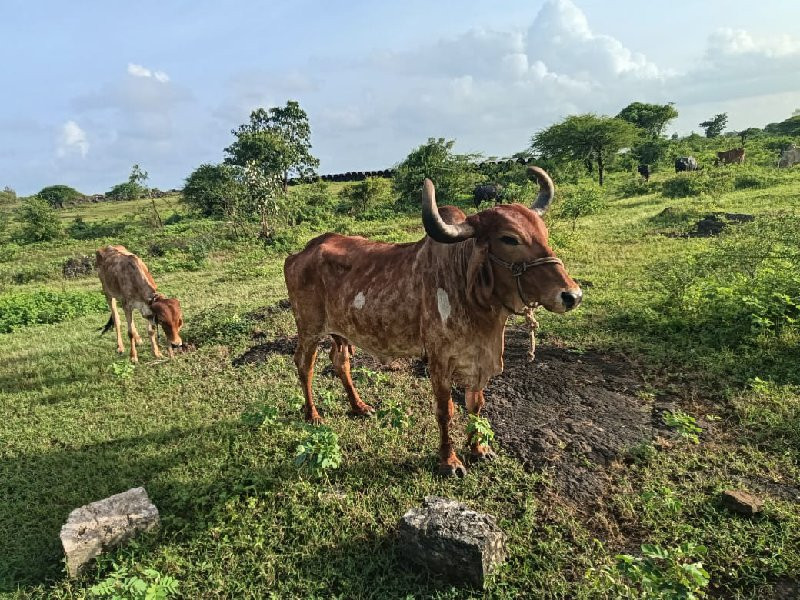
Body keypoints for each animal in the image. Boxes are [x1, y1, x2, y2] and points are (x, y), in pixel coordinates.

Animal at [286, 166, 580, 476]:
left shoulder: (478, 360)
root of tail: (302, 252)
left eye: (544, 233)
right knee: (304, 364)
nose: (572, 295)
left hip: (341, 331)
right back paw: (313, 414)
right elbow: (445, 411)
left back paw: (359, 406)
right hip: (309, 329)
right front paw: (449, 462)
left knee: (340, 362)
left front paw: (479, 449)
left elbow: (476, 404)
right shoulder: (439, 361)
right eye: (510, 239)